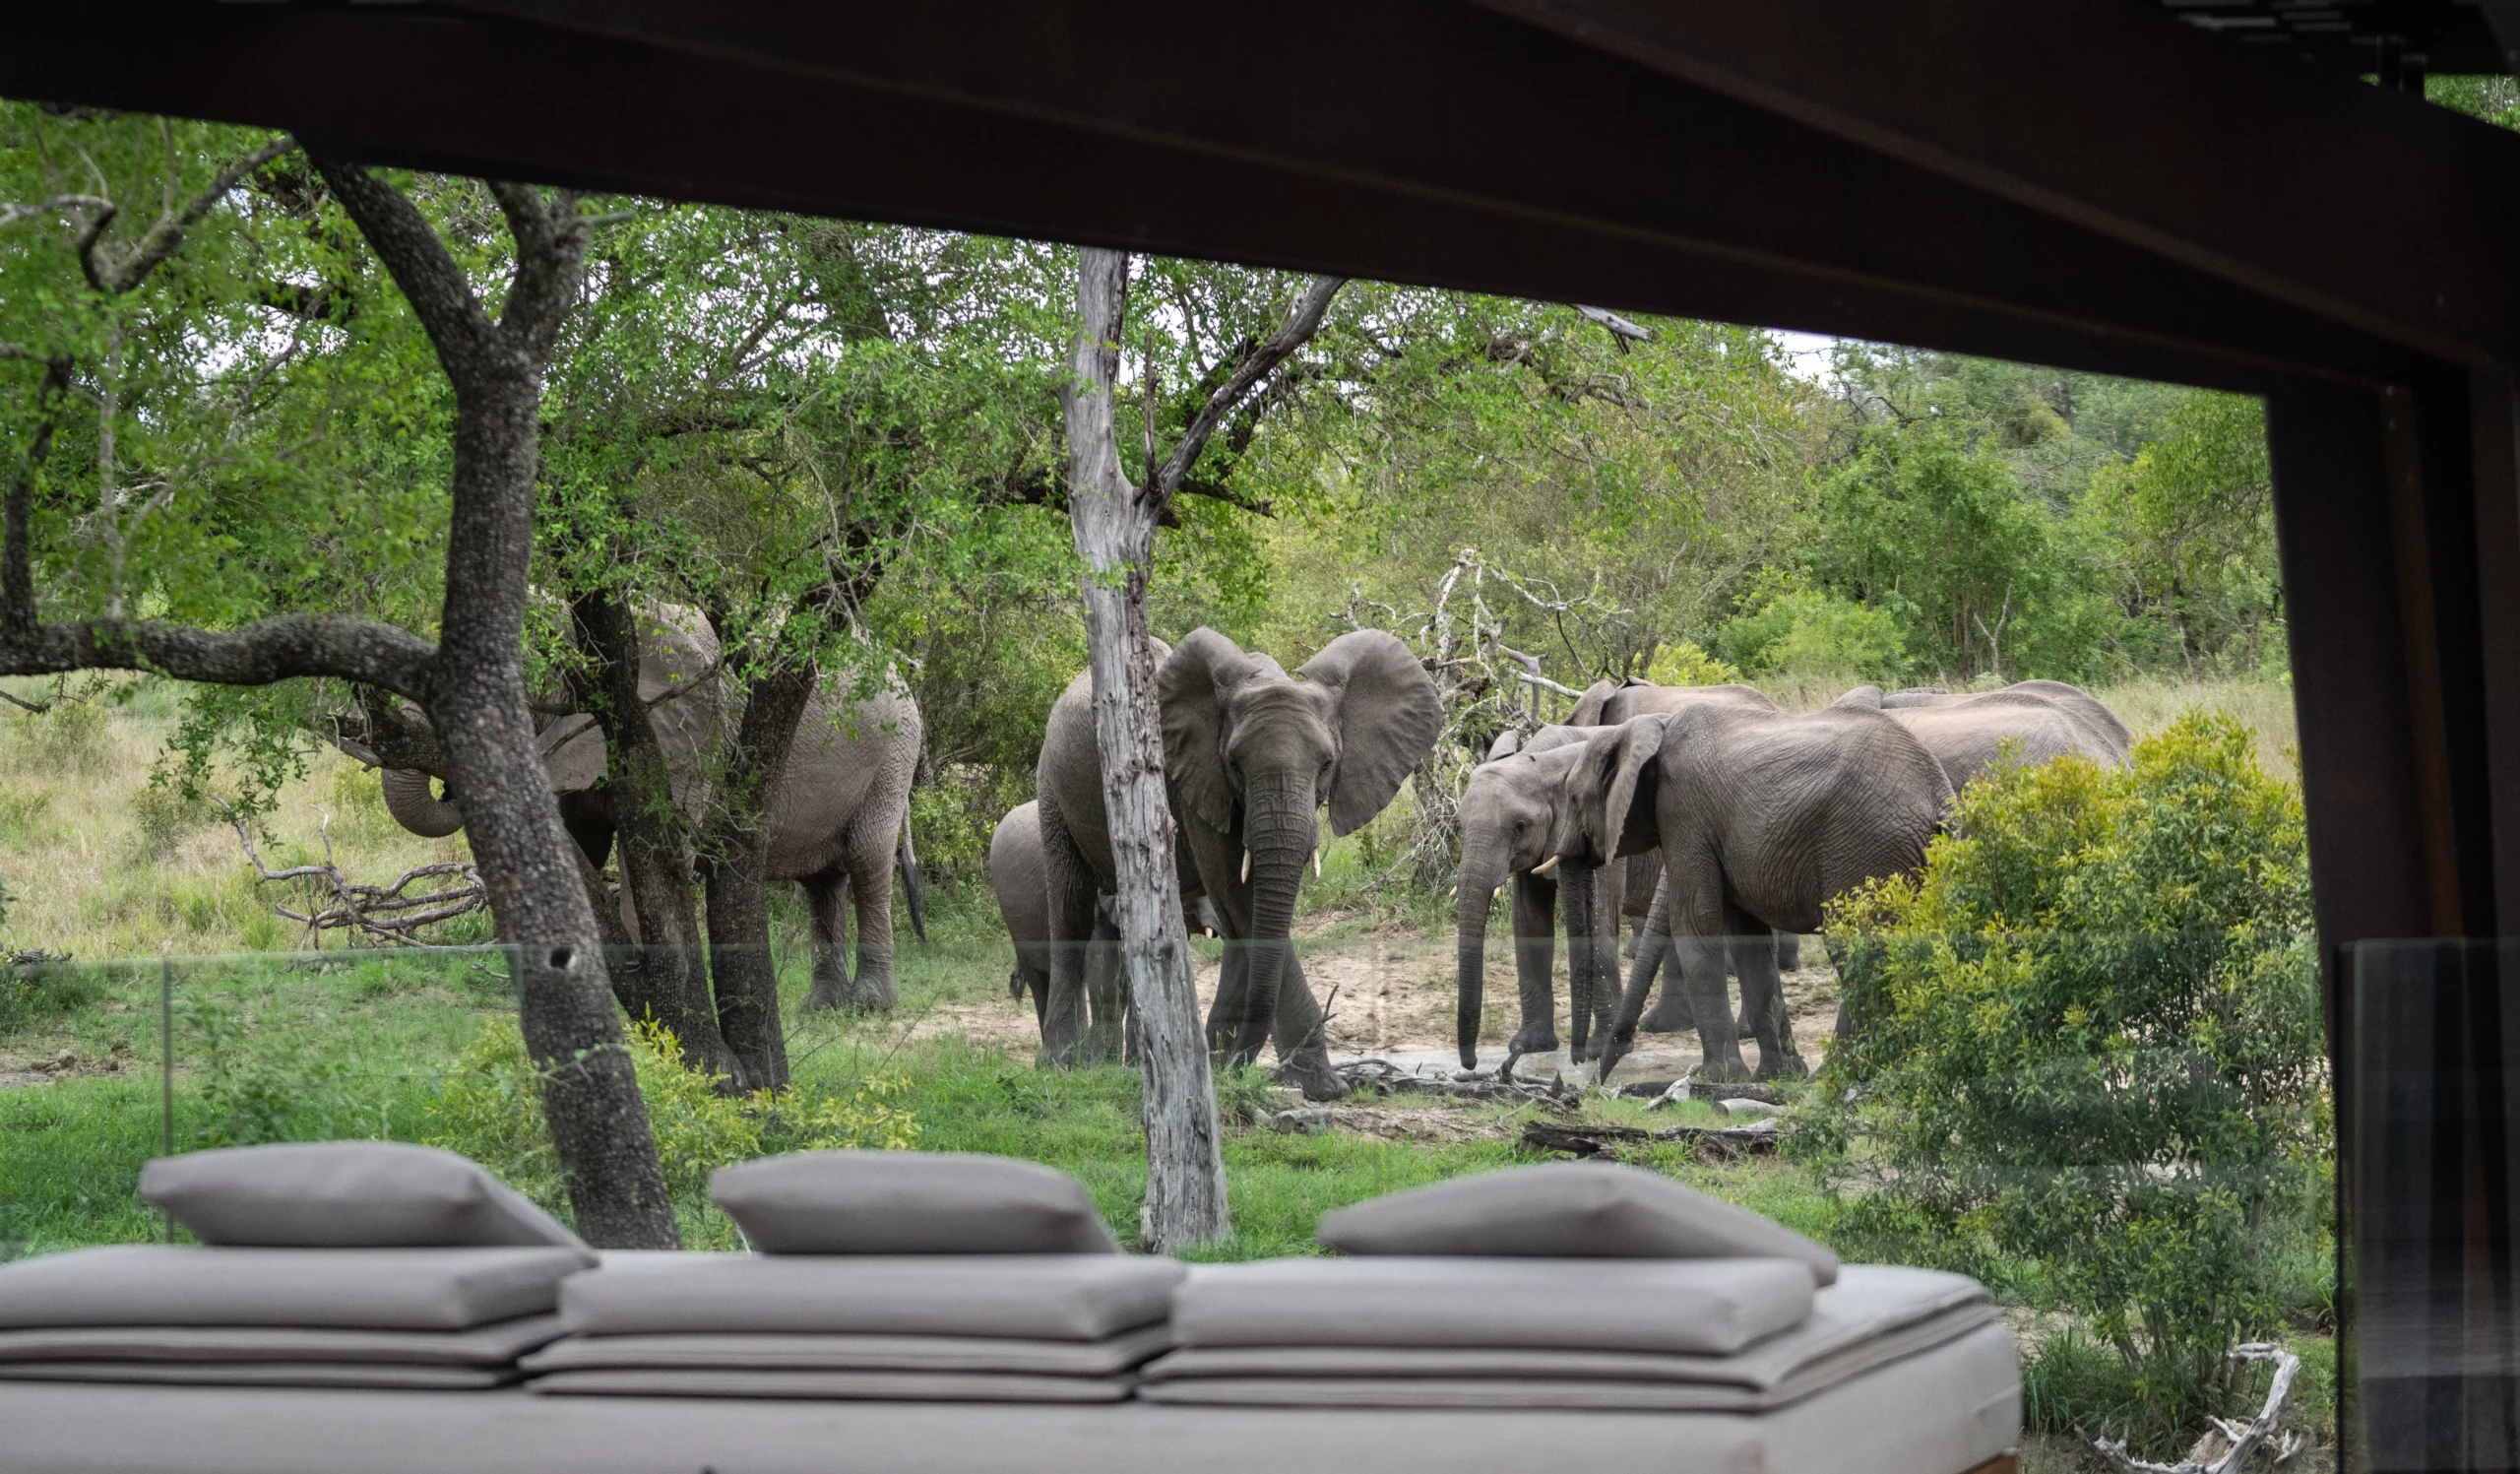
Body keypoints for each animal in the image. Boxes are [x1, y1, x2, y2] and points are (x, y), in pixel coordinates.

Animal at [377, 607, 925, 1014]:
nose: (447, 787)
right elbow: (583, 848)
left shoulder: (681, 745)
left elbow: (651, 856)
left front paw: (646, 993)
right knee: (822, 882)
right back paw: (821, 1007)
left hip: (893, 758)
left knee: (866, 860)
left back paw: (869, 1006)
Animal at [1034, 628, 1441, 1097]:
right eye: (1234, 765)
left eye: (1327, 765)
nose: (1234, 1064)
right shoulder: (1193, 776)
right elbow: (1239, 898)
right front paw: (1320, 1084)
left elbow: (1244, 914)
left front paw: (1226, 1063)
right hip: (1052, 787)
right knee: (1070, 910)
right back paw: (1060, 1064)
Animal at [1556, 702, 1954, 1081]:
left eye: (1573, 799)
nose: (1587, 1071)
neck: (1650, 727)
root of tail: (1938, 796)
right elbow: (1746, 938)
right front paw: (1777, 1076)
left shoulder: (1683, 813)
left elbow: (1695, 921)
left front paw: (1715, 1080)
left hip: (1865, 846)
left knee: (1856, 947)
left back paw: (1839, 1075)